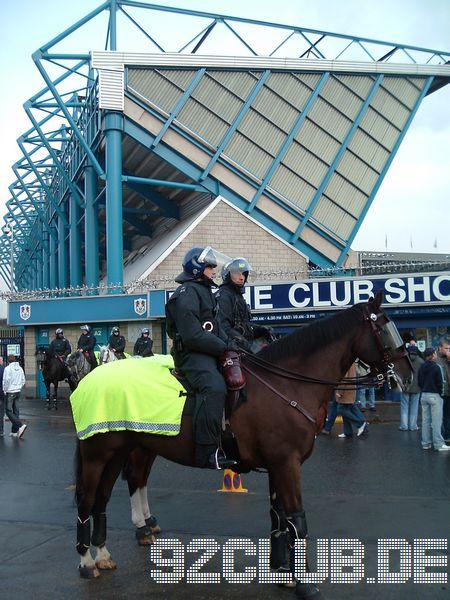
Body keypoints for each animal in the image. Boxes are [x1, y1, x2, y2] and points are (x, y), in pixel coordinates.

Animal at [71, 290, 412, 596]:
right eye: (384, 328)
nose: (407, 377)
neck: (286, 384)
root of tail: (89, 380)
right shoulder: (287, 464)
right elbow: (297, 520)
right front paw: (302, 582)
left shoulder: (278, 465)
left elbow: (279, 517)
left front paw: (281, 571)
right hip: (99, 454)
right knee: (89, 499)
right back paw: (87, 560)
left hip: (121, 451)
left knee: (108, 495)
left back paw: (106, 552)